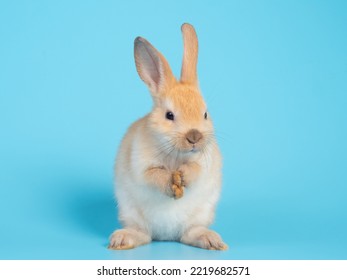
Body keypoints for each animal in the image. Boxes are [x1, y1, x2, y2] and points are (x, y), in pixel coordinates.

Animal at [109, 23, 228, 250]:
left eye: (205, 114)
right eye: (169, 115)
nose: (194, 137)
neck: (176, 154)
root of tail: (166, 236)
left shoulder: (203, 163)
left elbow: (195, 170)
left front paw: (183, 175)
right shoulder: (142, 165)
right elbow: (153, 175)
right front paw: (170, 182)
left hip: (200, 216)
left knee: (189, 234)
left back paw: (211, 241)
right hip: (131, 213)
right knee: (144, 235)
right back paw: (121, 240)